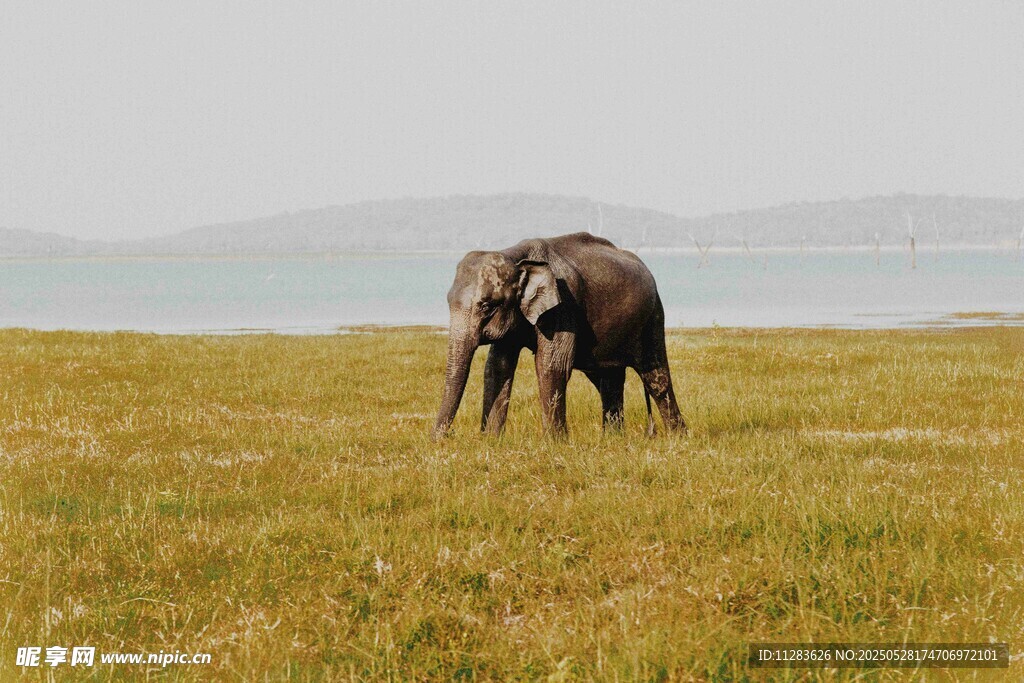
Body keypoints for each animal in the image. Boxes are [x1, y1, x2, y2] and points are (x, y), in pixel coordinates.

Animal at [432, 232, 686, 438]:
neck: (515, 256)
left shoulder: (563, 306)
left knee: (655, 376)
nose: (445, 438)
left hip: (653, 316)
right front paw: (491, 441)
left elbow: (552, 365)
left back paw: (677, 438)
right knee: (608, 380)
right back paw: (613, 439)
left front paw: (554, 443)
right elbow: (497, 367)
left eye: (486, 306)